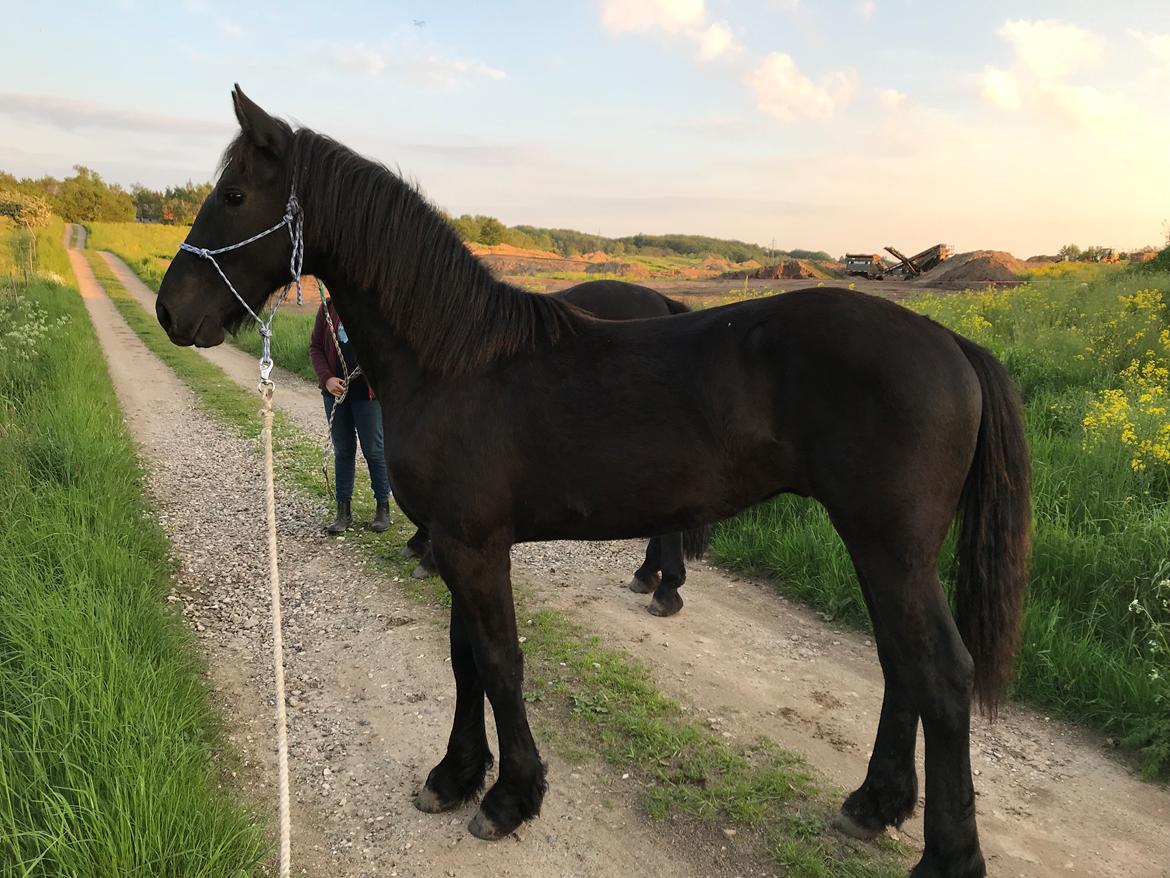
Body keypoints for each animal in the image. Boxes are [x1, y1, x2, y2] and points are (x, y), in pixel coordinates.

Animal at [157, 91, 1034, 878]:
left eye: (234, 195)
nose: (171, 310)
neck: (454, 358)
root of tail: (951, 342)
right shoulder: (457, 544)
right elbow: (464, 659)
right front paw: (455, 776)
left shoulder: (473, 548)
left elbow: (498, 662)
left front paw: (510, 798)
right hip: (882, 551)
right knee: (901, 666)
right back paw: (875, 803)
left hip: (891, 549)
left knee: (940, 676)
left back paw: (947, 857)